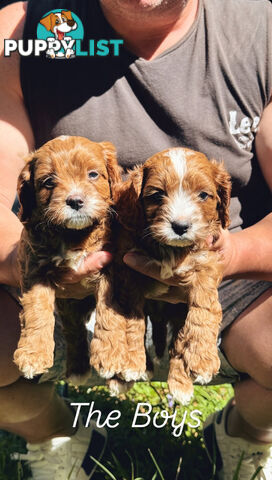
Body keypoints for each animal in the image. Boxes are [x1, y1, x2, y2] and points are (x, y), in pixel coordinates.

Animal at [13, 136, 120, 382]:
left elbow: (109, 312)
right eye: (49, 182)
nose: (75, 201)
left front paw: (110, 356)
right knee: (73, 329)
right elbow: (37, 311)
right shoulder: (35, 268)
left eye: (93, 174)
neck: (73, 234)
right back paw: (78, 368)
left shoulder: (111, 266)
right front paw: (33, 355)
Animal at [90, 147, 231, 404]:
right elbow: (132, 319)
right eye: (157, 195)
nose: (180, 226)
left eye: (203, 195)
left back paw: (180, 384)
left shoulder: (206, 264)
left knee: (178, 340)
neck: (170, 249)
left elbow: (205, 309)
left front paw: (202, 358)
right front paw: (132, 363)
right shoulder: (127, 270)